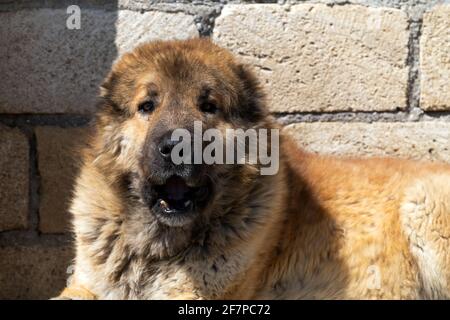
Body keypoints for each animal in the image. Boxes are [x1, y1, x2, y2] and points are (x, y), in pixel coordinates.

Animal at [58, 38, 450, 300]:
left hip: (422, 203)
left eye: (209, 106)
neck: (157, 248)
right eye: (146, 106)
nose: (175, 147)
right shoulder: (86, 284)